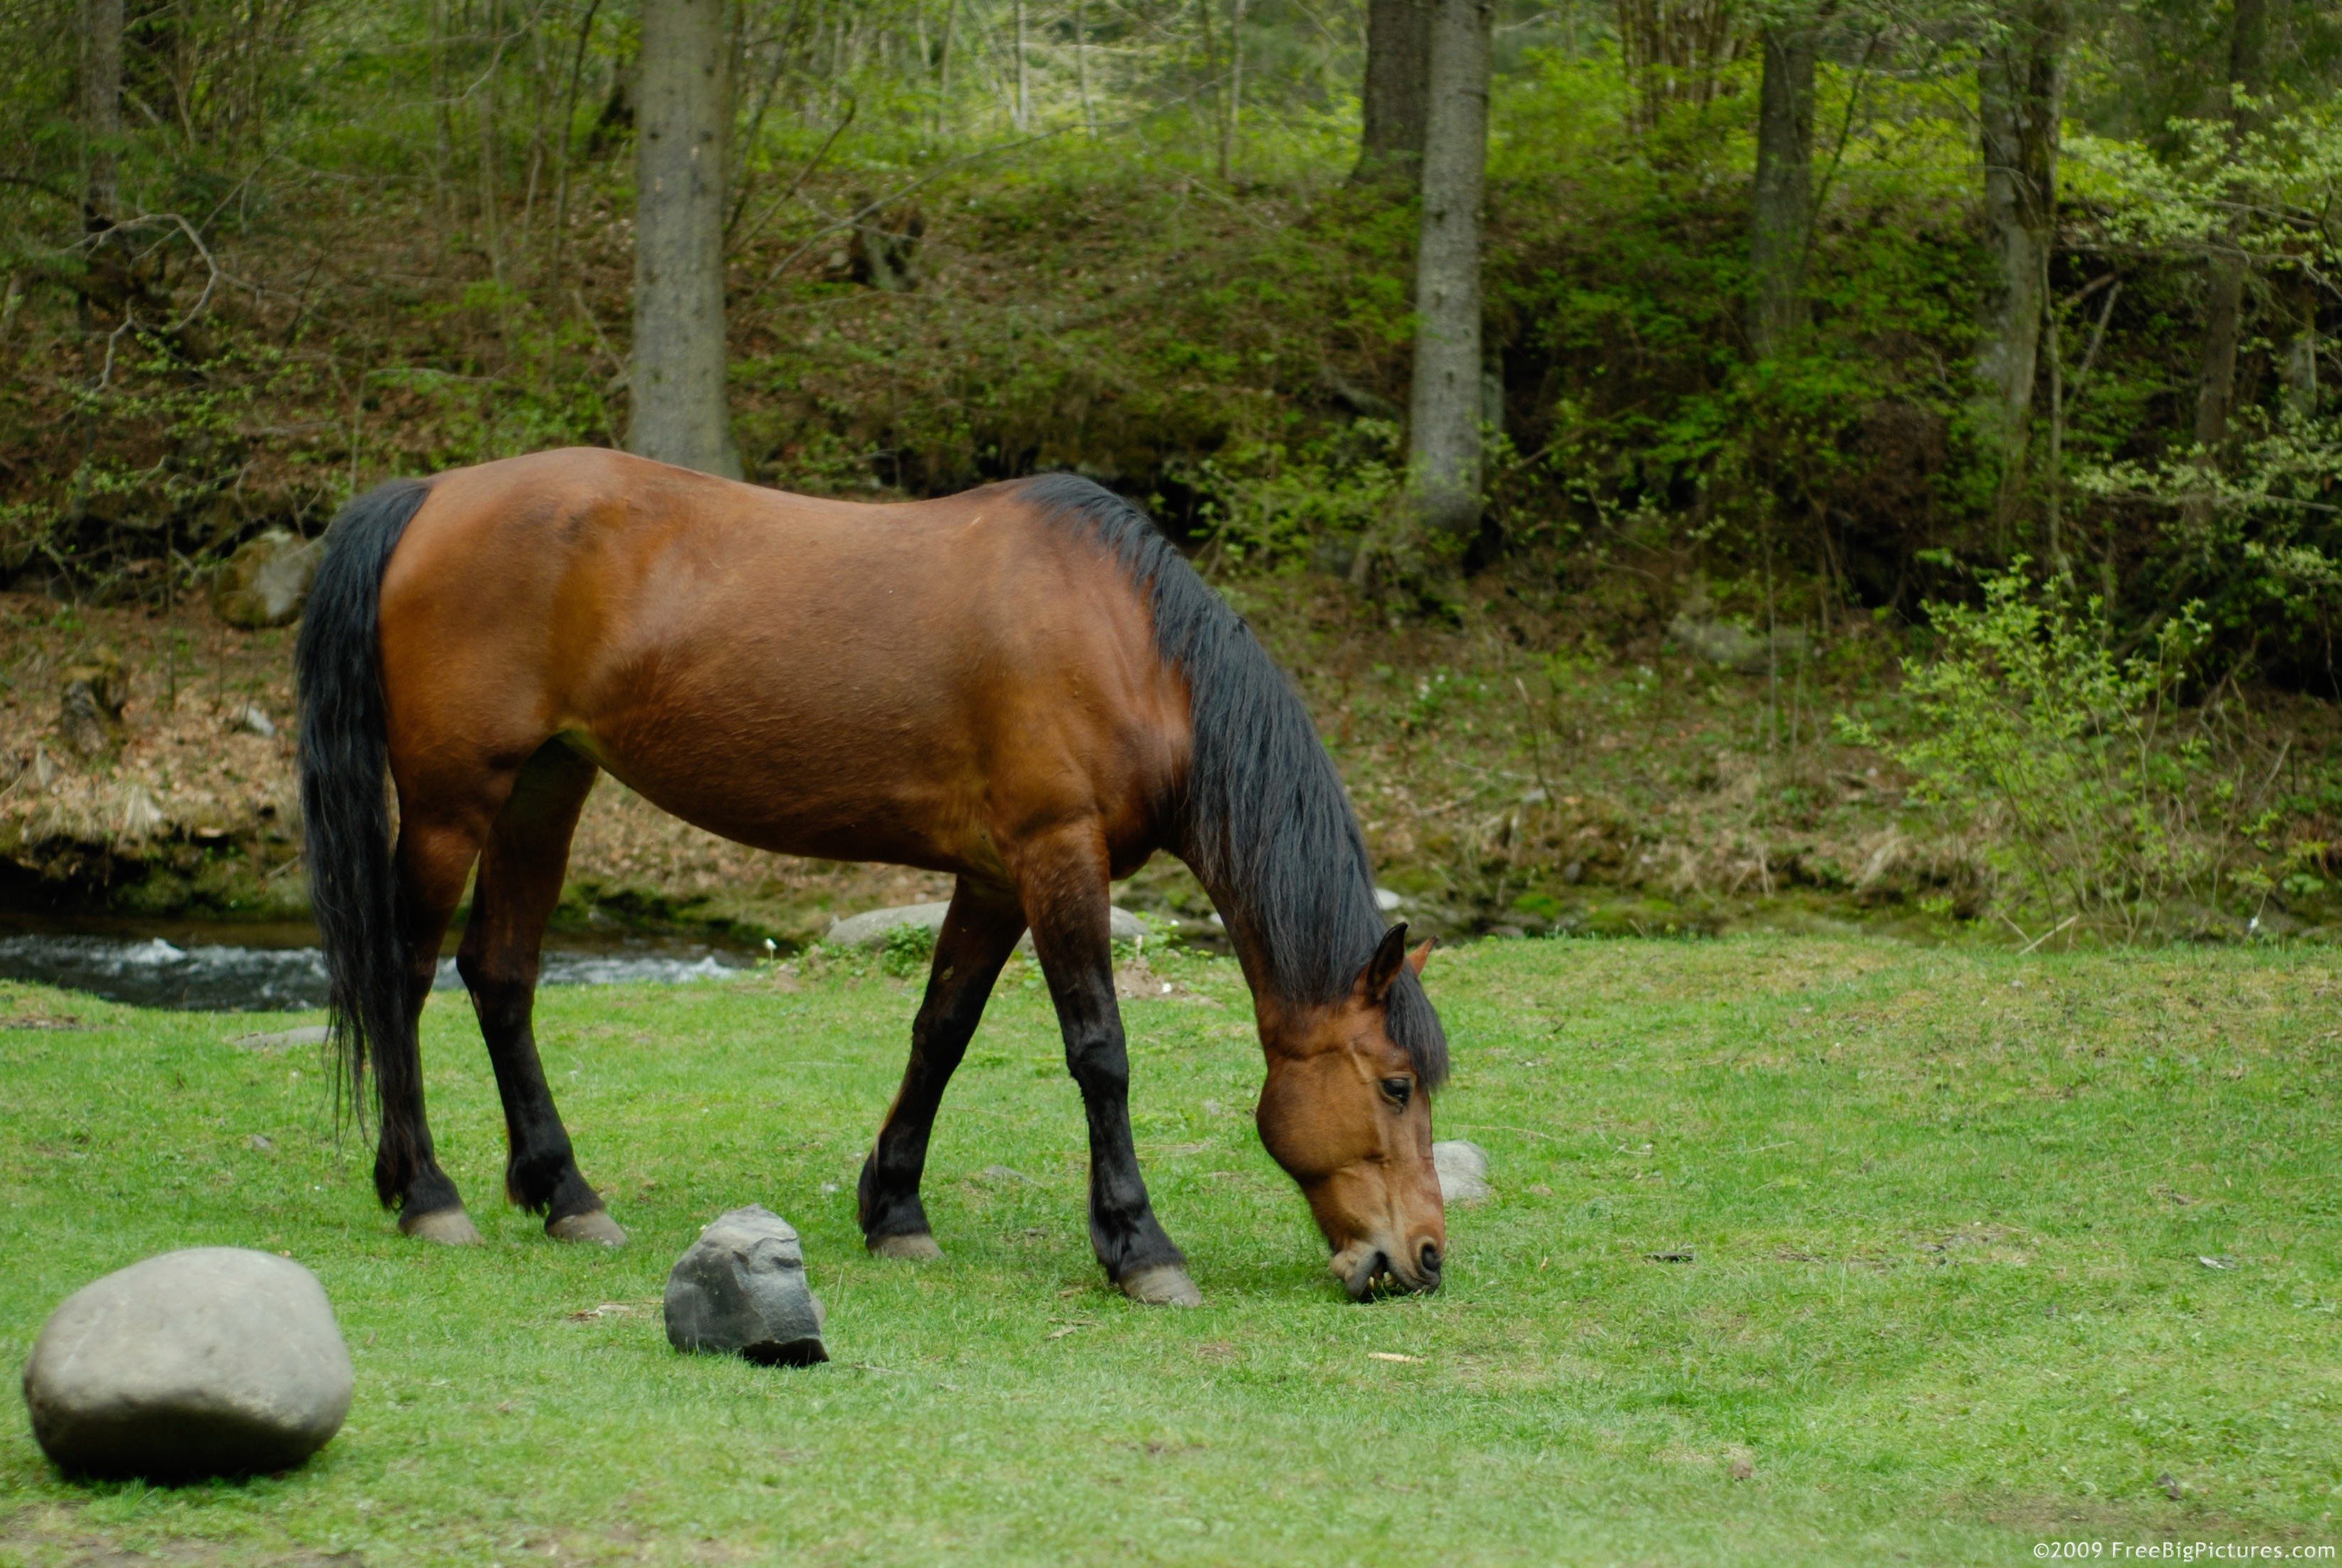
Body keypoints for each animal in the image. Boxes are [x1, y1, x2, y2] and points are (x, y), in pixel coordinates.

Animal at [297, 445, 1442, 1303]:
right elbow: (1100, 1052)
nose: (1423, 1259)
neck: (1131, 646)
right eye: (1394, 1084)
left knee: (501, 974)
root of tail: (432, 494)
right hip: (452, 802)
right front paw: (1139, 1248)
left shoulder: (994, 879)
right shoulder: (1058, 857)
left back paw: (566, 1194)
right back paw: (426, 1192)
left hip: (546, 784)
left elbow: (942, 1032)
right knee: (402, 978)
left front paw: (894, 1210)